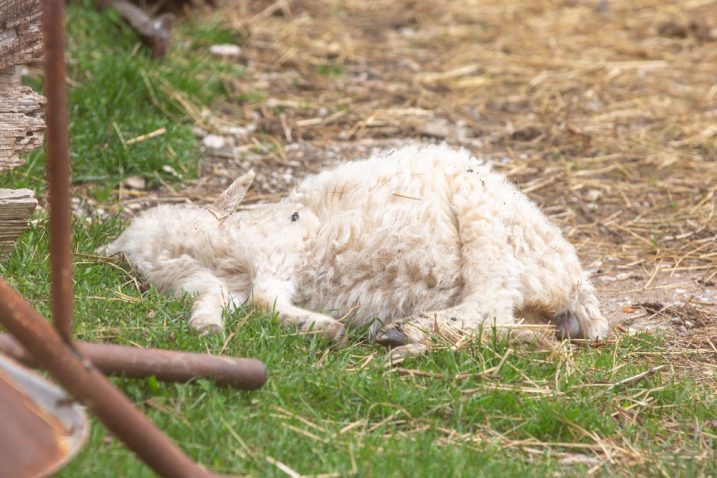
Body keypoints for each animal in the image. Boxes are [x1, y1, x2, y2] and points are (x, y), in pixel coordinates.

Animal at [105, 144, 608, 356]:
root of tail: (577, 288)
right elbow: (231, 301)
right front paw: (205, 327)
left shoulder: (284, 244)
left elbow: (267, 298)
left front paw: (322, 329)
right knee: (513, 323)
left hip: (481, 212)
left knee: (491, 299)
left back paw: (407, 332)